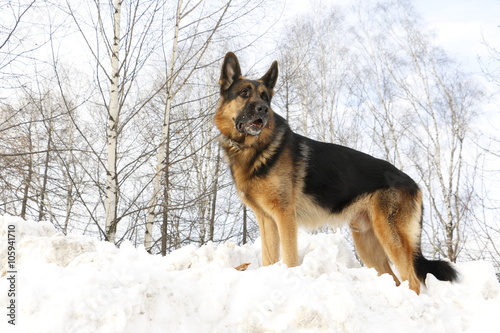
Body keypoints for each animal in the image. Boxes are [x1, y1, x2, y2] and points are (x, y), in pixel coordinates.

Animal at [215, 52, 458, 294]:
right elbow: (269, 259)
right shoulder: (267, 221)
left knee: (413, 281)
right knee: (396, 279)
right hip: (367, 244)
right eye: (244, 93)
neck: (254, 149)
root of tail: (413, 183)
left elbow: (290, 258)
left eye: (265, 98)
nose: (263, 109)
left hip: (391, 236)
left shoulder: (285, 217)